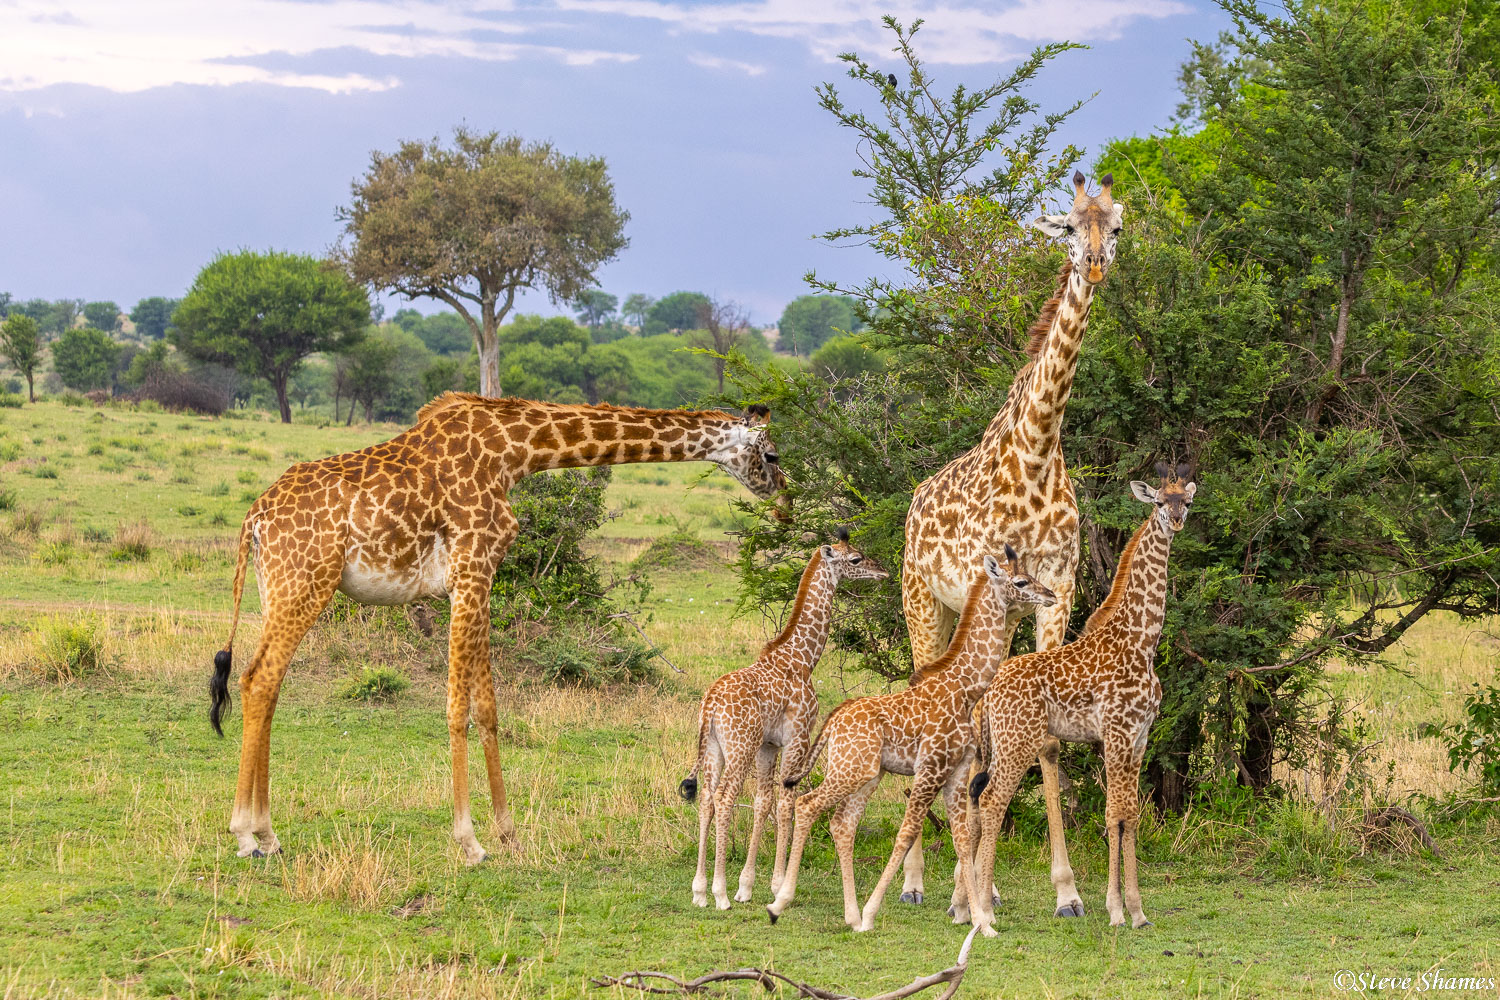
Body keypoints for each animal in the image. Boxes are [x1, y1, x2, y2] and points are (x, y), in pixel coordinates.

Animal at [214, 395, 798, 863]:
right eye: (771, 456)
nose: (786, 502)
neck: (515, 452)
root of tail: (253, 519)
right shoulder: (471, 568)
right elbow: (457, 709)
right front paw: (469, 841)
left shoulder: (481, 576)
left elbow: (488, 708)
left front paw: (509, 834)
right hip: (305, 584)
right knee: (260, 680)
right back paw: (245, 833)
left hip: (280, 589)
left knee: (259, 683)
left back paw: (267, 835)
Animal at [768, 542, 1062, 935]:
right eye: (1020, 581)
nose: (1051, 595)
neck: (965, 691)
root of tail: (834, 720)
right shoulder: (930, 768)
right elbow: (906, 833)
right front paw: (876, 911)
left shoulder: (956, 772)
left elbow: (962, 837)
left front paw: (980, 921)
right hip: (848, 770)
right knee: (806, 804)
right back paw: (782, 902)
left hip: (867, 773)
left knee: (841, 824)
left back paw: (850, 915)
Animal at [888, 172, 1128, 917]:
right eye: (1068, 227)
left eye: (1115, 227)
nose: (1094, 265)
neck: (1038, 451)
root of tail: (913, 501)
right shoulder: (982, 589)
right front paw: (968, 890)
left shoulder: (1059, 594)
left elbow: (1046, 742)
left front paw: (1068, 891)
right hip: (922, 602)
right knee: (924, 697)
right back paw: (919, 883)